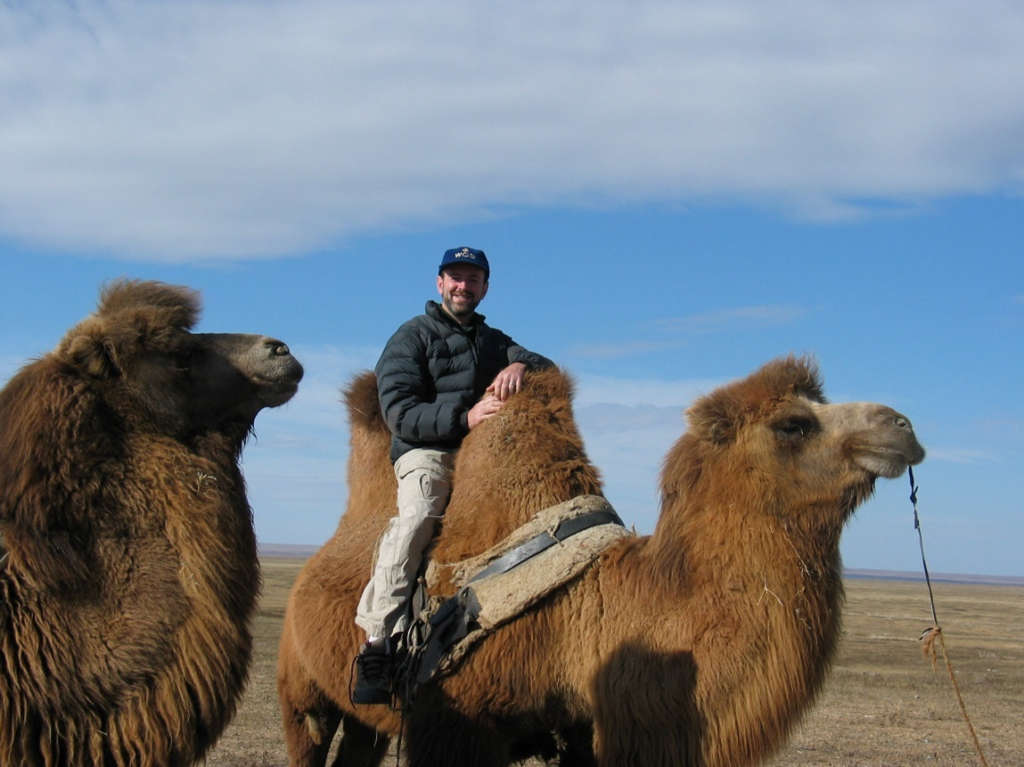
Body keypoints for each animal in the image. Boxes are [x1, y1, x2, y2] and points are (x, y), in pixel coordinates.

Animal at [276, 358, 925, 765]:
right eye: (793, 423)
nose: (903, 426)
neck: (587, 611)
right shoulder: (454, 728)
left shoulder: (584, 732)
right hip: (301, 686)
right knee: (309, 733)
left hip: (361, 716)